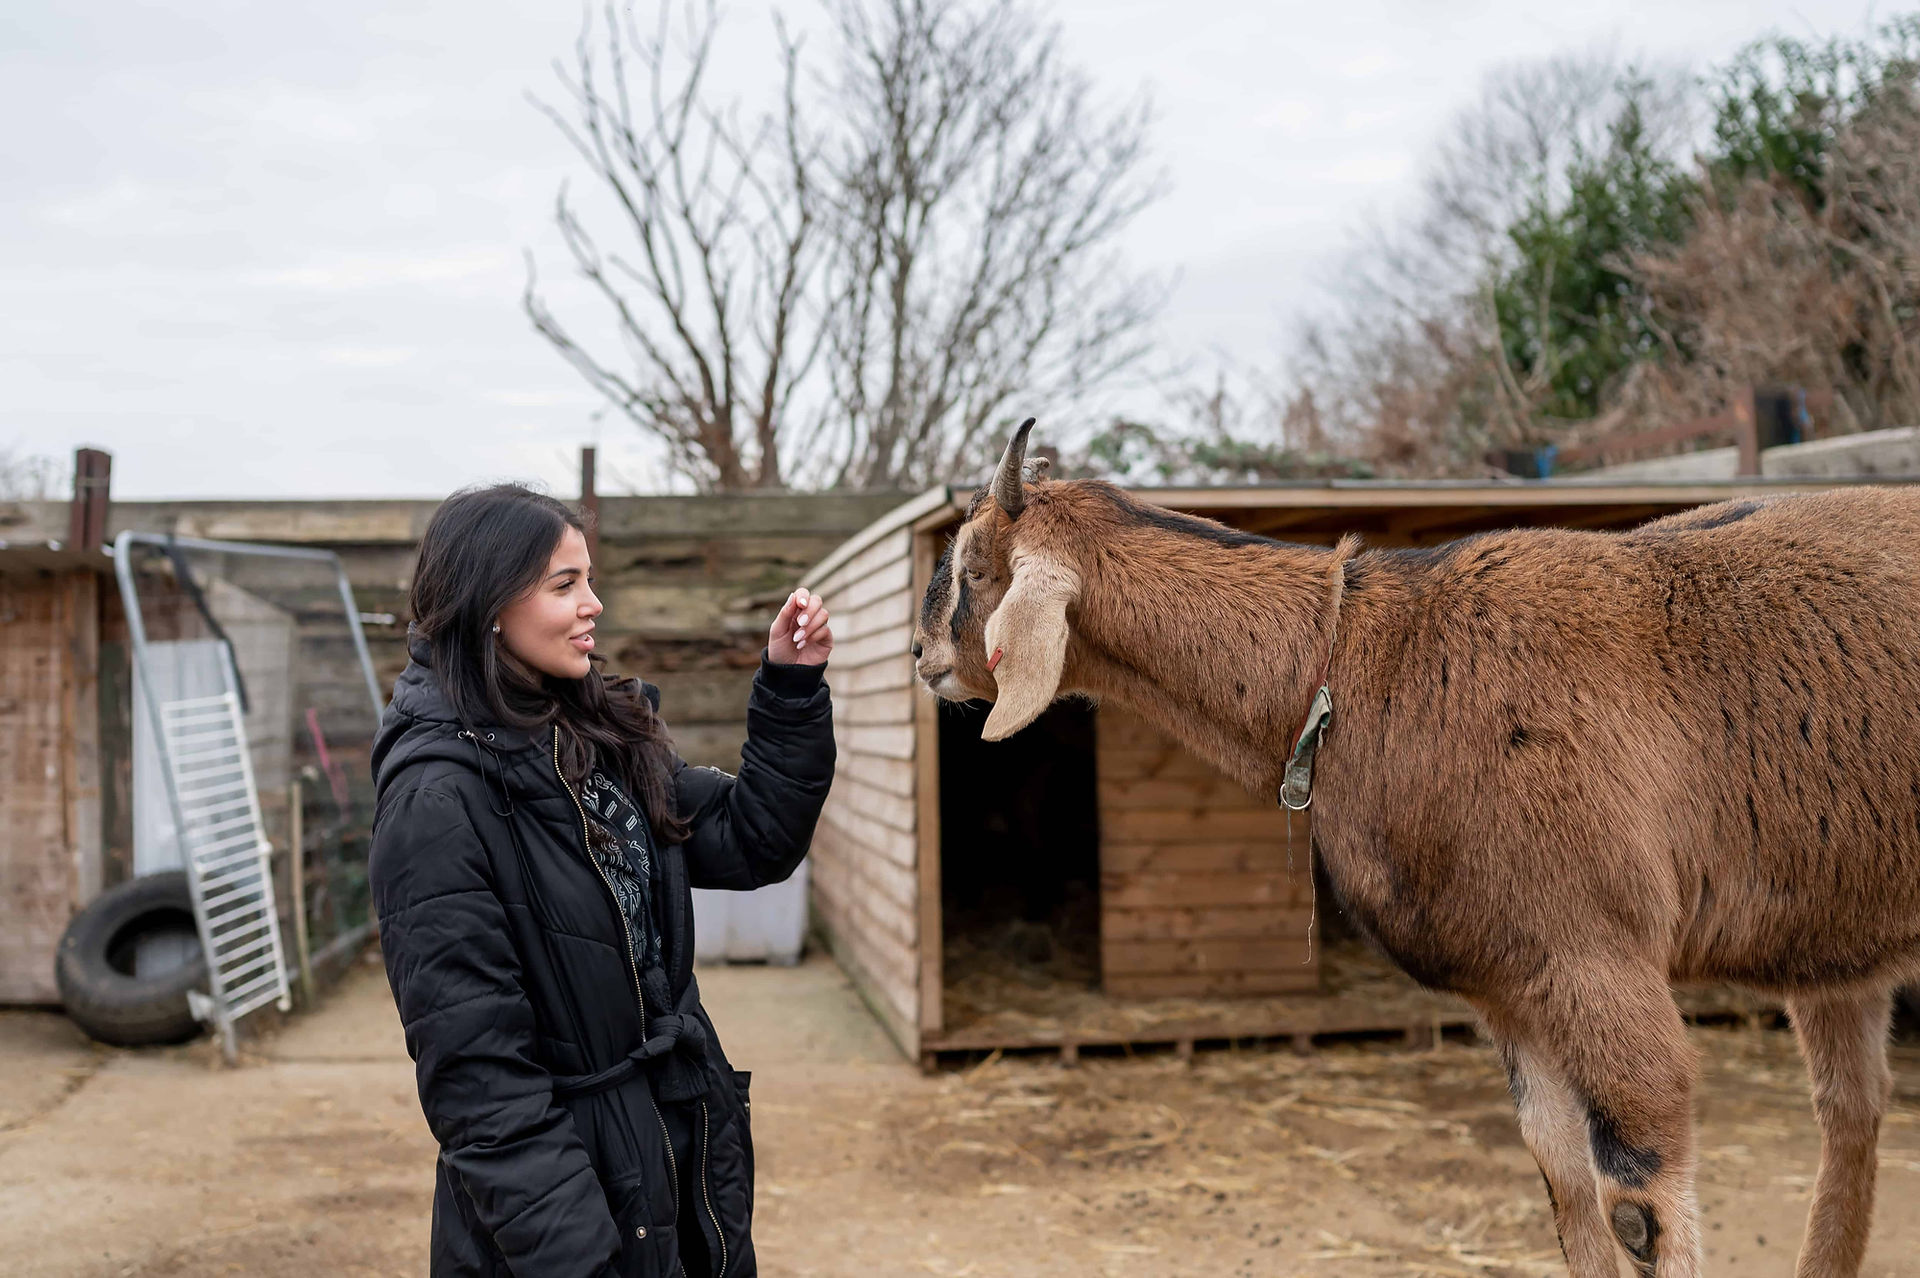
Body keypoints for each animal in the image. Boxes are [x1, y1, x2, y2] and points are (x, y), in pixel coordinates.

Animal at [912, 420, 1920, 1278]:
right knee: (1851, 1108)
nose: (921, 657)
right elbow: (1564, 1187)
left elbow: (1637, 1211)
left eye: (971, 566)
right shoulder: (1515, 988)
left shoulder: (1598, 956)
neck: (1365, 656)